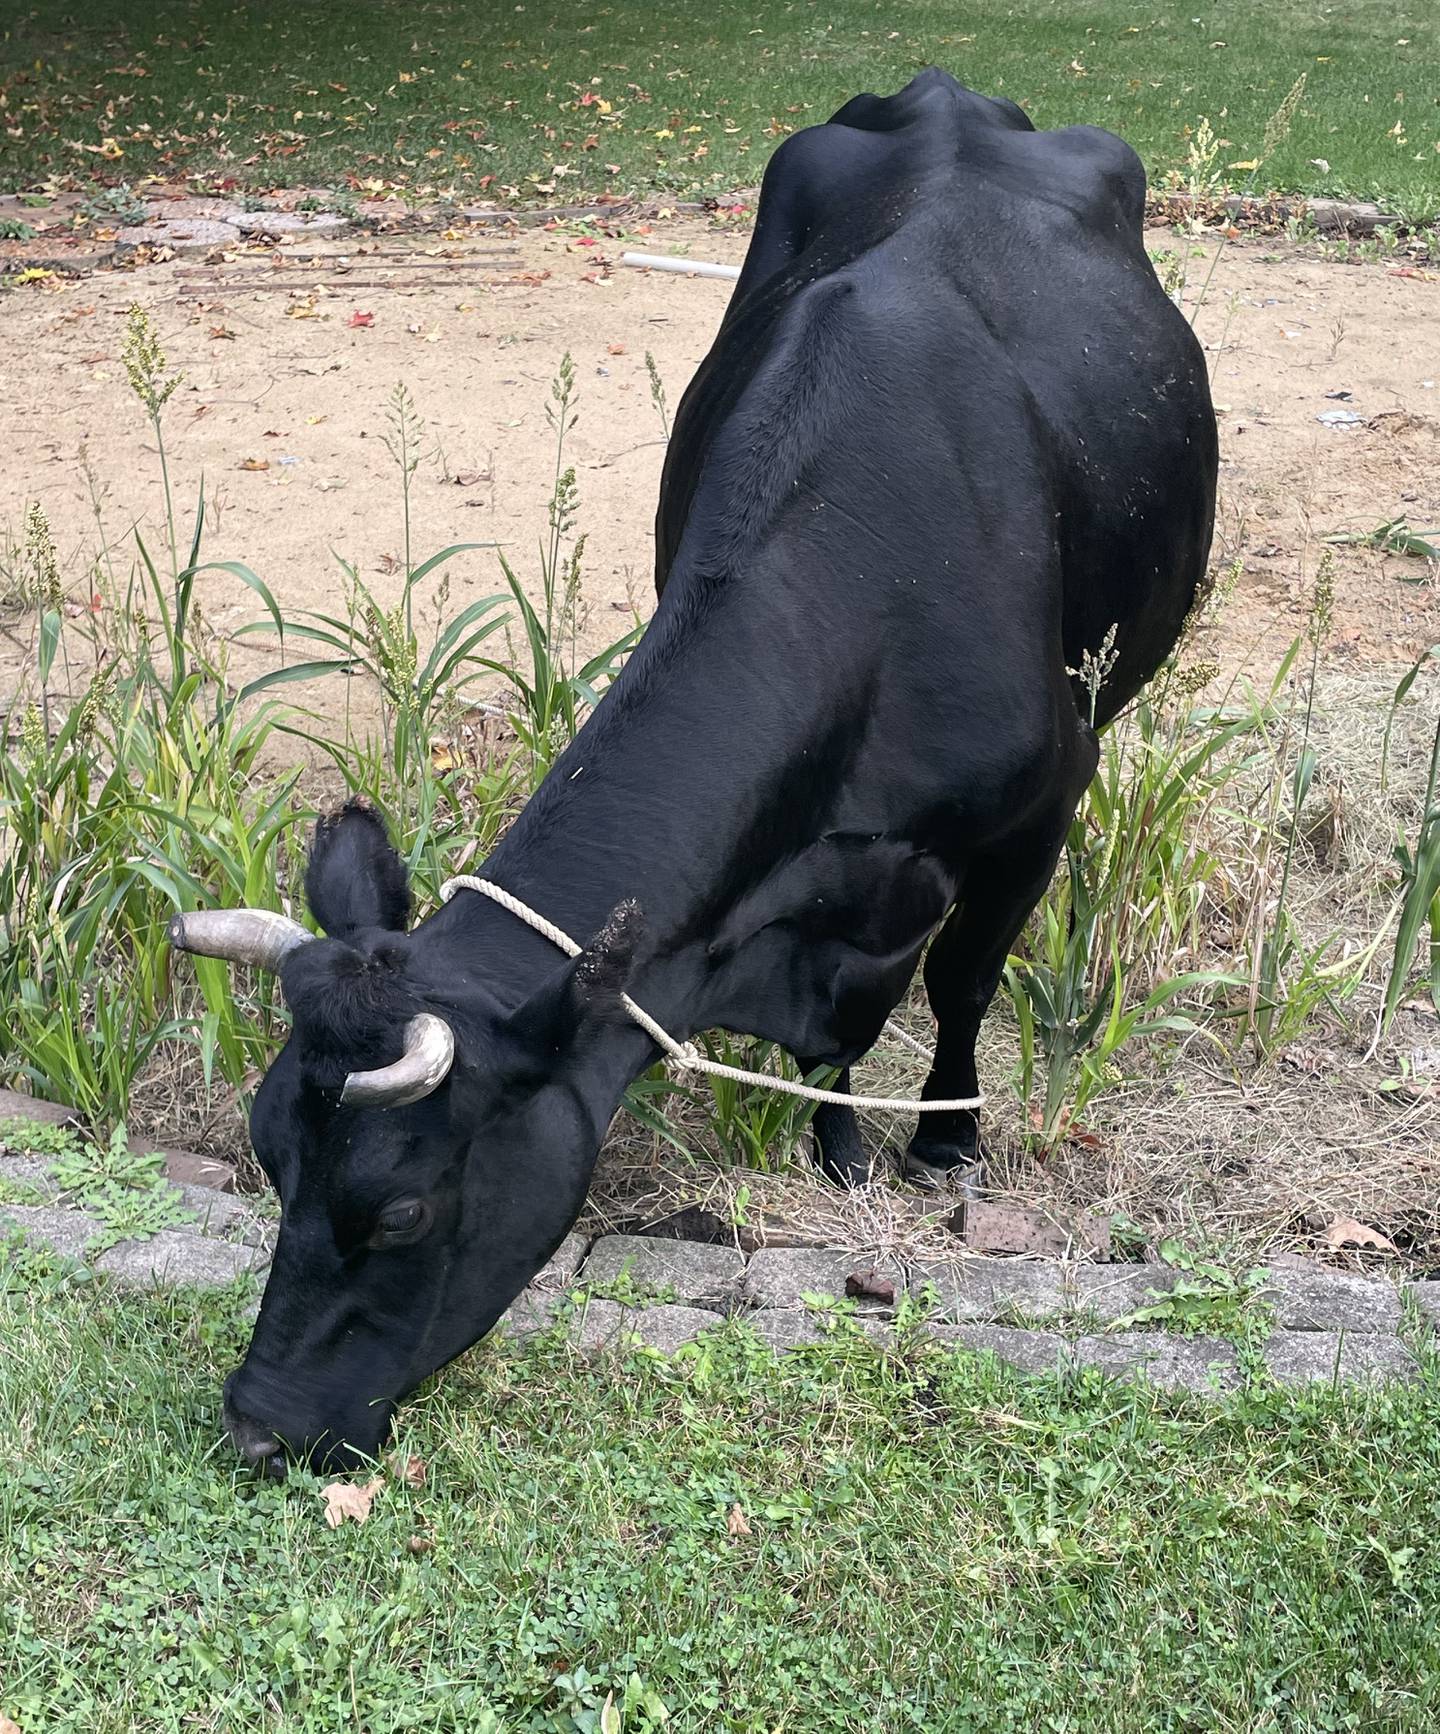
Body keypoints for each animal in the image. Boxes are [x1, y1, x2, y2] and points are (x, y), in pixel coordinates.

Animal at [169, 68, 1216, 1473]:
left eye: (399, 1211)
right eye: (269, 1157)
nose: (258, 1425)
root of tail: (942, 91)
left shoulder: (1043, 802)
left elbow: (956, 984)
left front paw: (944, 1144)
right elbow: (842, 1038)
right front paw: (839, 1146)